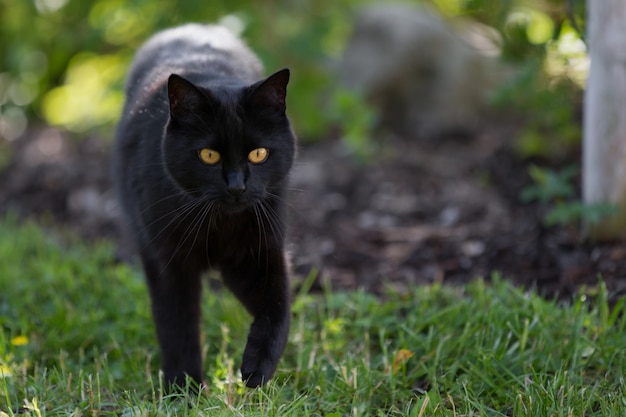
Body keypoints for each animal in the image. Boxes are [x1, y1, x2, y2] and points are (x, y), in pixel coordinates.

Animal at [112, 24, 294, 388]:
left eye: (259, 153)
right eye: (209, 155)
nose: (237, 186)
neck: (219, 224)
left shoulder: (259, 251)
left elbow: (278, 307)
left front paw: (257, 368)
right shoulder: (167, 261)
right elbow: (177, 324)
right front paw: (183, 387)